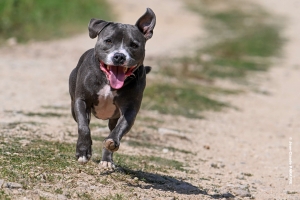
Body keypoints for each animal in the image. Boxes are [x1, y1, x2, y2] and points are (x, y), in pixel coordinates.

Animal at [69, 8, 156, 170]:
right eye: (108, 41)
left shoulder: (130, 110)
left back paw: (107, 160)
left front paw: (112, 142)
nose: (119, 56)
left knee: (111, 129)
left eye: (134, 45)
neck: (108, 81)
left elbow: (119, 129)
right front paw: (83, 151)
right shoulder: (81, 100)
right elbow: (83, 127)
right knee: (84, 122)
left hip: (113, 118)